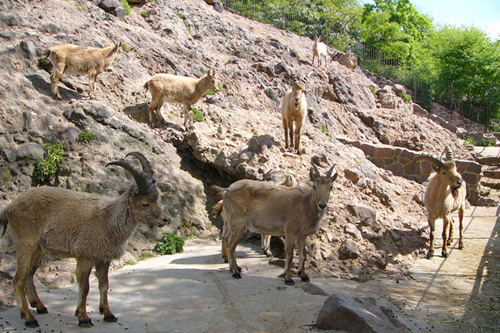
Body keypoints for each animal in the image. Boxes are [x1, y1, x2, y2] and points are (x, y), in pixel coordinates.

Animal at [0, 151, 168, 326]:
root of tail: (8, 208)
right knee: (18, 279)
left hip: (38, 250)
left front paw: (108, 314)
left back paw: (40, 307)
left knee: (28, 276)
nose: (165, 220)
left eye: (156, 199)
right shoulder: (85, 255)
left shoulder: (103, 258)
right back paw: (29, 318)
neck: (107, 220)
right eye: (145, 203)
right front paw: (83, 317)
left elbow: (104, 285)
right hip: (25, 244)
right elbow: (85, 286)